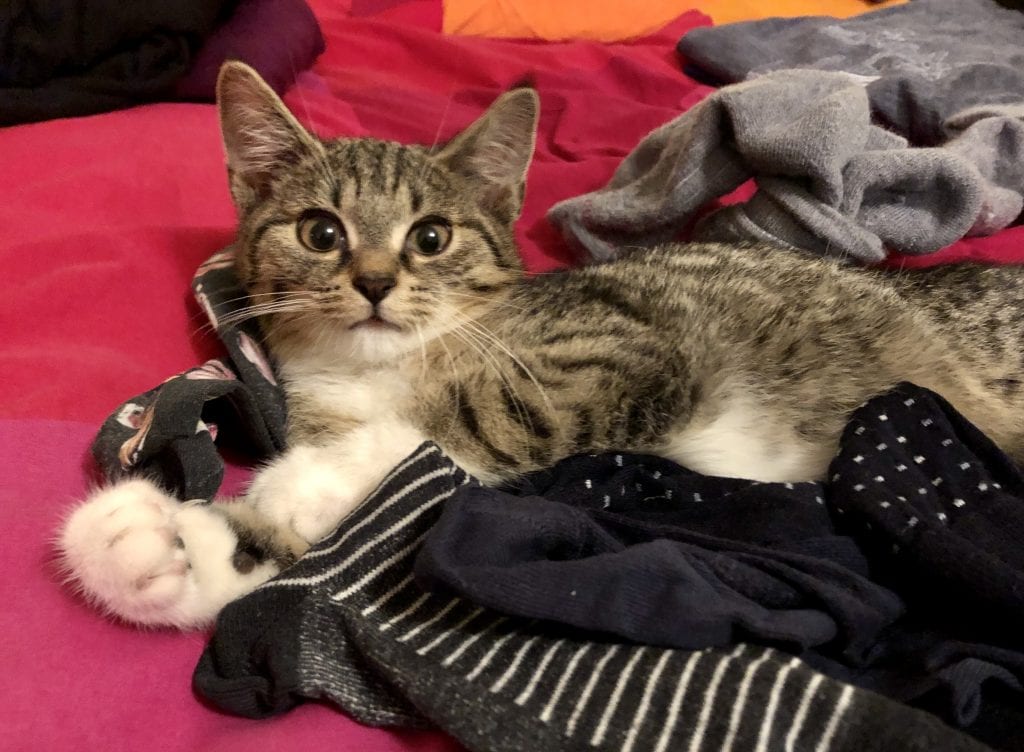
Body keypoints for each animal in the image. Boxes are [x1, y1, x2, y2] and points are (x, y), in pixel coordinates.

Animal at [58, 64, 1024, 631]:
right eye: (321, 232)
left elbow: (473, 414)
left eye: (432, 237)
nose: (373, 282)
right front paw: (155, 546)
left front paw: (304, 483)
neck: (375, 367)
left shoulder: (627, 348)